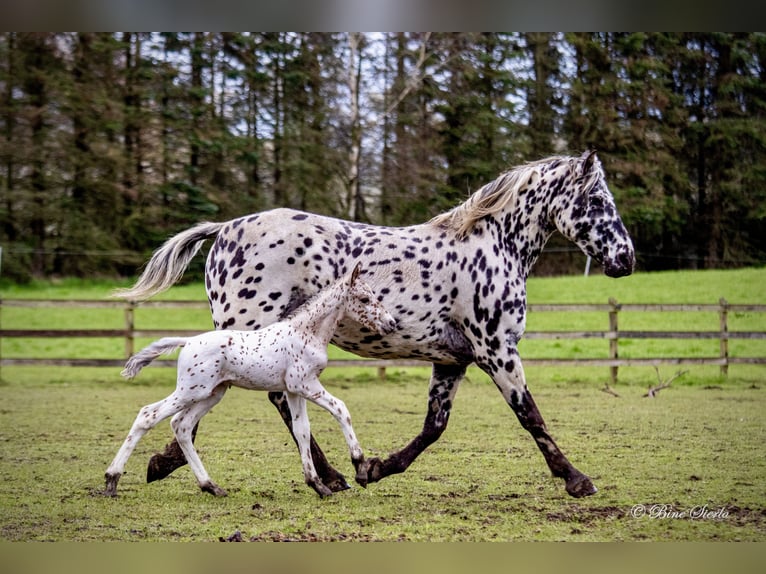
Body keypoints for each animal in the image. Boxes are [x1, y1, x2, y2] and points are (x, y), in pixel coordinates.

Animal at [104, 263, 397, 498]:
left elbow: (302, 430)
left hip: (213, 393)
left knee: (182, 426)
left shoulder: (293, 390)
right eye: (364, 298)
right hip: (191, 391)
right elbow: (341, 409)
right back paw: (111, 480)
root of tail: (187, 342)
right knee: (148, 415)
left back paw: (211, 486)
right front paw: (360, 467)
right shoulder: (306, 384)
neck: (306, 333)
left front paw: (318, 485)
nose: (391, 324)